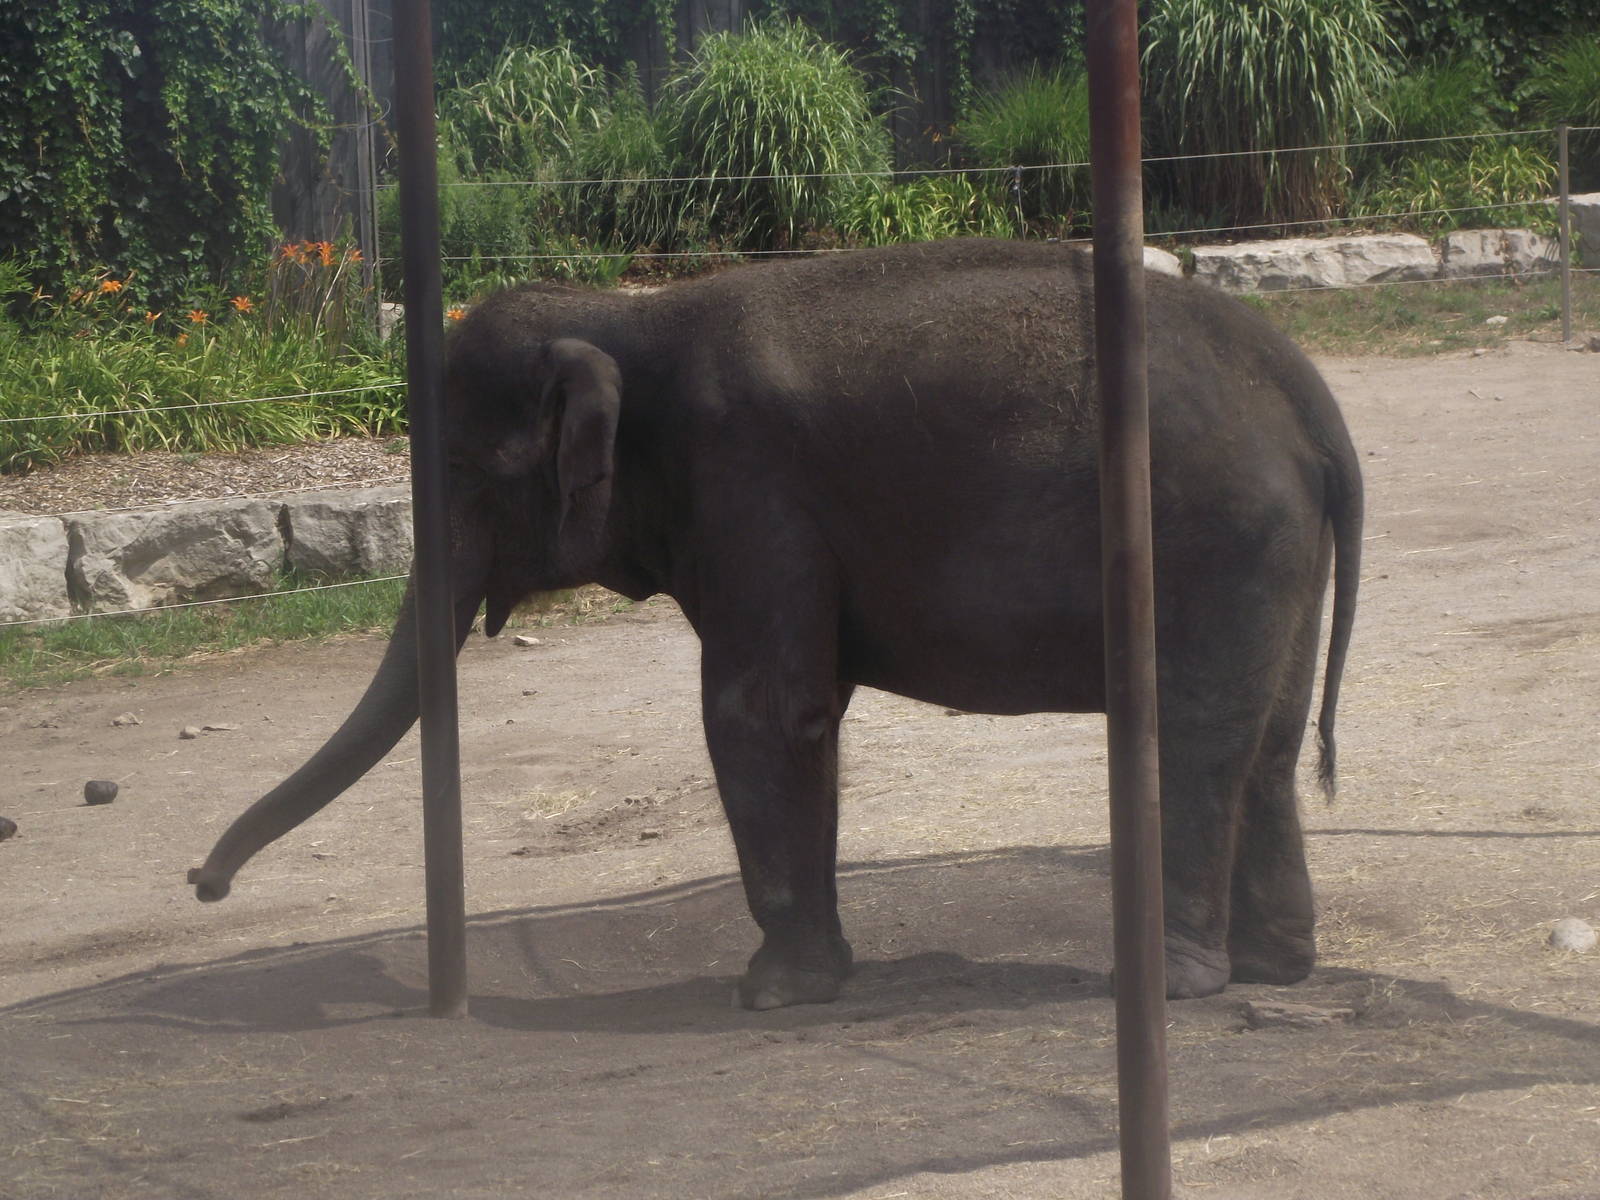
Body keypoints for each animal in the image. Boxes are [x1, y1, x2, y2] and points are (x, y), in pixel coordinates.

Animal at [190, 238, 1361, 1011]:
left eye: (470, 475)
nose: (203, 884)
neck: (629, 316)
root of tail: (1306, 394)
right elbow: (805, 711)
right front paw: (809, 980)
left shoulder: (750, 489)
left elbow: (761, 713)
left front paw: (772, 996)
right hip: (1273, 554)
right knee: (1266, 742)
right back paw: (1274, 970)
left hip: (1212, 541)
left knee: (1192, 739)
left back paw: (1166, 984)